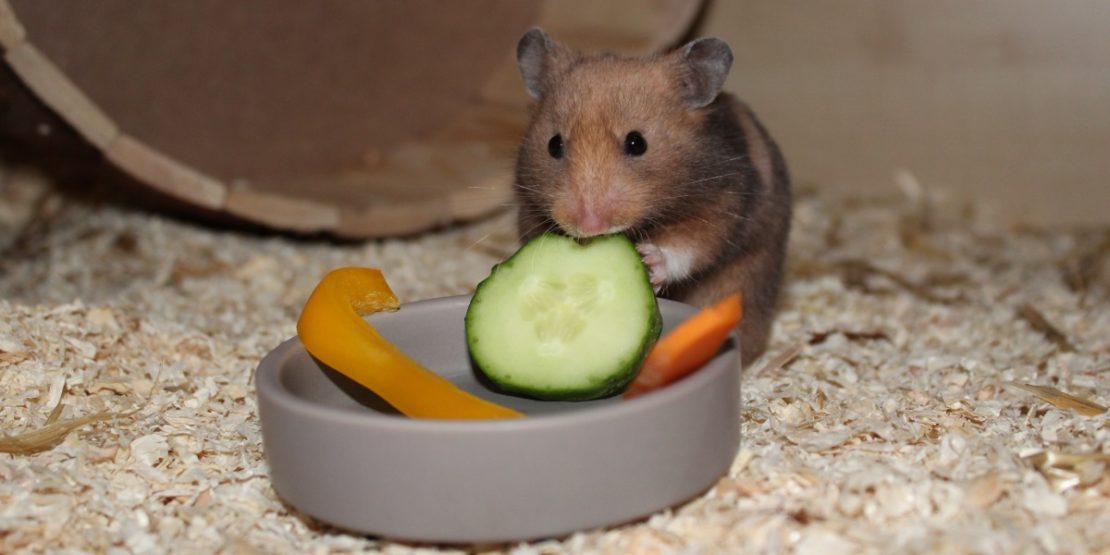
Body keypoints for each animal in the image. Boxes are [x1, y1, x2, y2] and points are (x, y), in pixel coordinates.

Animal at [512, 28, 792, 363]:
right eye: (554, 145)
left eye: (637, 143)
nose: (590, 226)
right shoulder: (528, 205)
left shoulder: (723, 203)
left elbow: (692, 245)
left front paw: (650, 260)